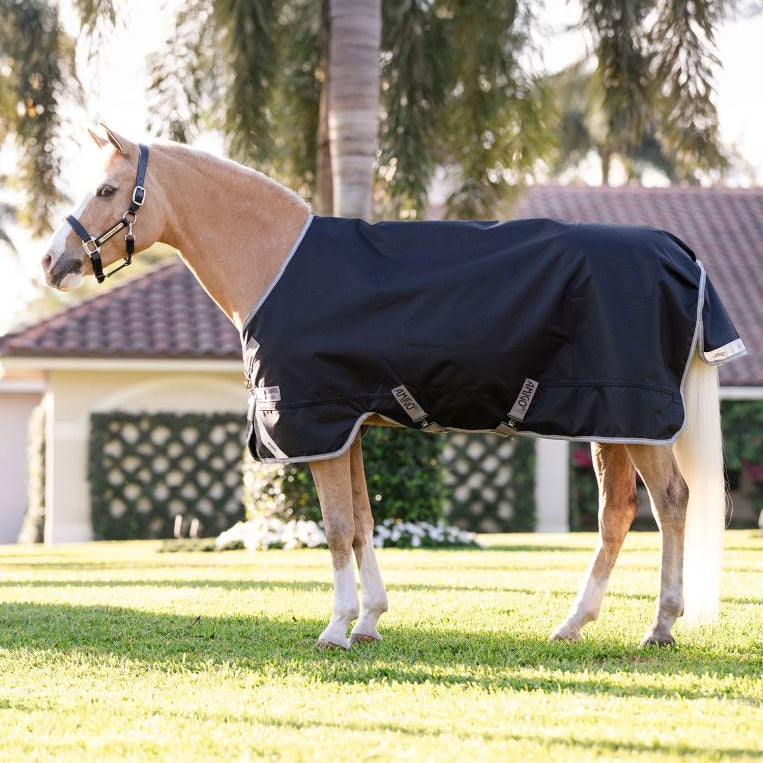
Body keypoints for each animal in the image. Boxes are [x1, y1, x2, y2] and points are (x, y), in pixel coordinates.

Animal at [42, 125, 733, 649]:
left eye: (107, 189)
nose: (52, 263)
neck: (276, 262)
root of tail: (677, 251)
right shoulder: (346, 429)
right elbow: (364, 523)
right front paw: (370, 621)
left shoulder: (318, 425)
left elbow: (335, 527)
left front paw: (336, 628)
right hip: (610, 419)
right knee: (616, 514)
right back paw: (572, 625)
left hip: (637, 418)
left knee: (671, 501)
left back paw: (661, 627)